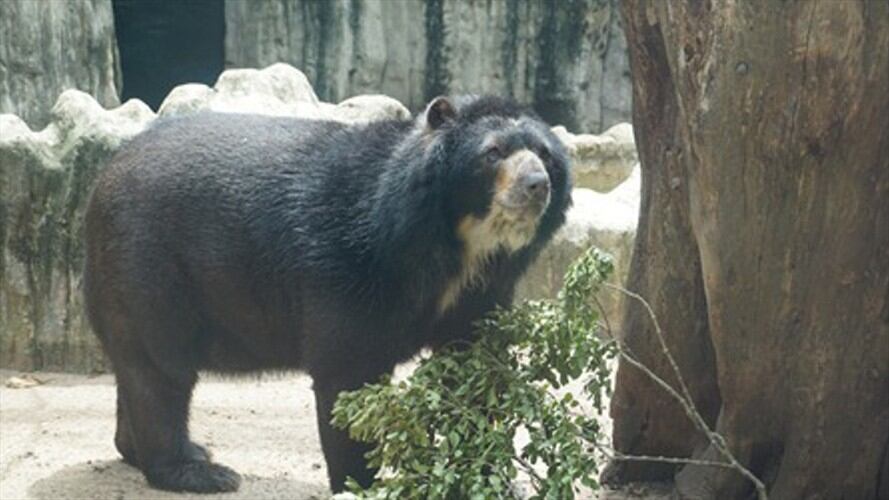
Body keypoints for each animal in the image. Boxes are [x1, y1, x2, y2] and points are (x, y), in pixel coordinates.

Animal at [83, 95, 572, 493]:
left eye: (545, 155)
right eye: (493, 152)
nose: (536, 185)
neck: (455, 247)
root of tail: (103, 178)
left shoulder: (482, 291)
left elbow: (473, 369)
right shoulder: (349, 267)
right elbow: (347, 373)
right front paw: (361, 482)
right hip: (149, 266)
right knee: (161, 369)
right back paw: (198, 471)